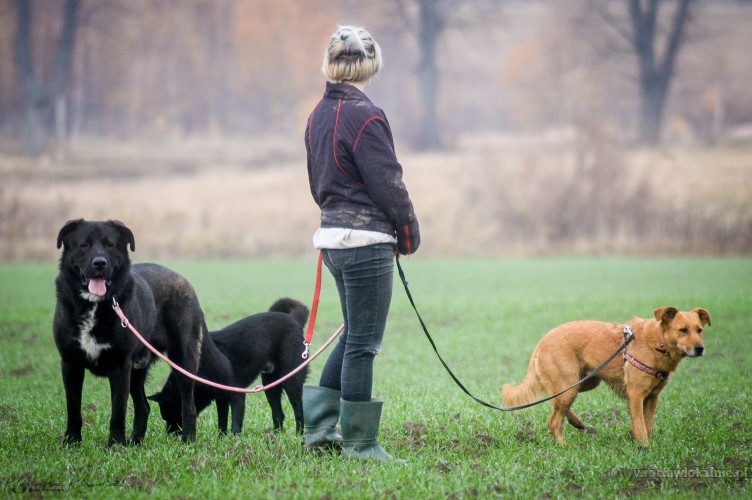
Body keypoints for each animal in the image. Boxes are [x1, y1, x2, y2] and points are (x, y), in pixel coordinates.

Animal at [52, 219, 206, 446]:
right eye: (84, 245)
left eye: (110, 245)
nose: (99, 263)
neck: (95, 305)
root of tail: (185, 282)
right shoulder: (70, 364)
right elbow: (73, 408)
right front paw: (72, 441)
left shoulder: (120, 366)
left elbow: (118, 411)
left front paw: (116, 444)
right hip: (138, 370)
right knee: (144, 406)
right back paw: (135, 441)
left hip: (183, 359)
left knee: (189, 405)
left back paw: (187, 439)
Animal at [150, 298, 308, 436]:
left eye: (170, 415)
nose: (169, 435)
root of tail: (294, 319)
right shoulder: (221, 398)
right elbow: (222, 422)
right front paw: (221, 438)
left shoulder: (237, 394)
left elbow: (235, 423)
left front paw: (234, 439)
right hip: (270, 384)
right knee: (278, 414)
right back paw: (275, 436)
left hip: (291, 380)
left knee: (299, 411)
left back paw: (298, 435)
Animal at [506, 306, 712, 448]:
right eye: (683, 330)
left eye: (699, 330)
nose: (700, 348)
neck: (658, 342)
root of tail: (541, 343)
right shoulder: (636, 395)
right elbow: (640, 425)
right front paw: (644, 448)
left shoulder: (652, 397)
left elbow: (649, 424)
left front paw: (649, 445)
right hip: (570, 384)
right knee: (554, 421)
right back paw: (564, 446)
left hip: (583, 382)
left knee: (554, 401)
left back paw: (576, 422)